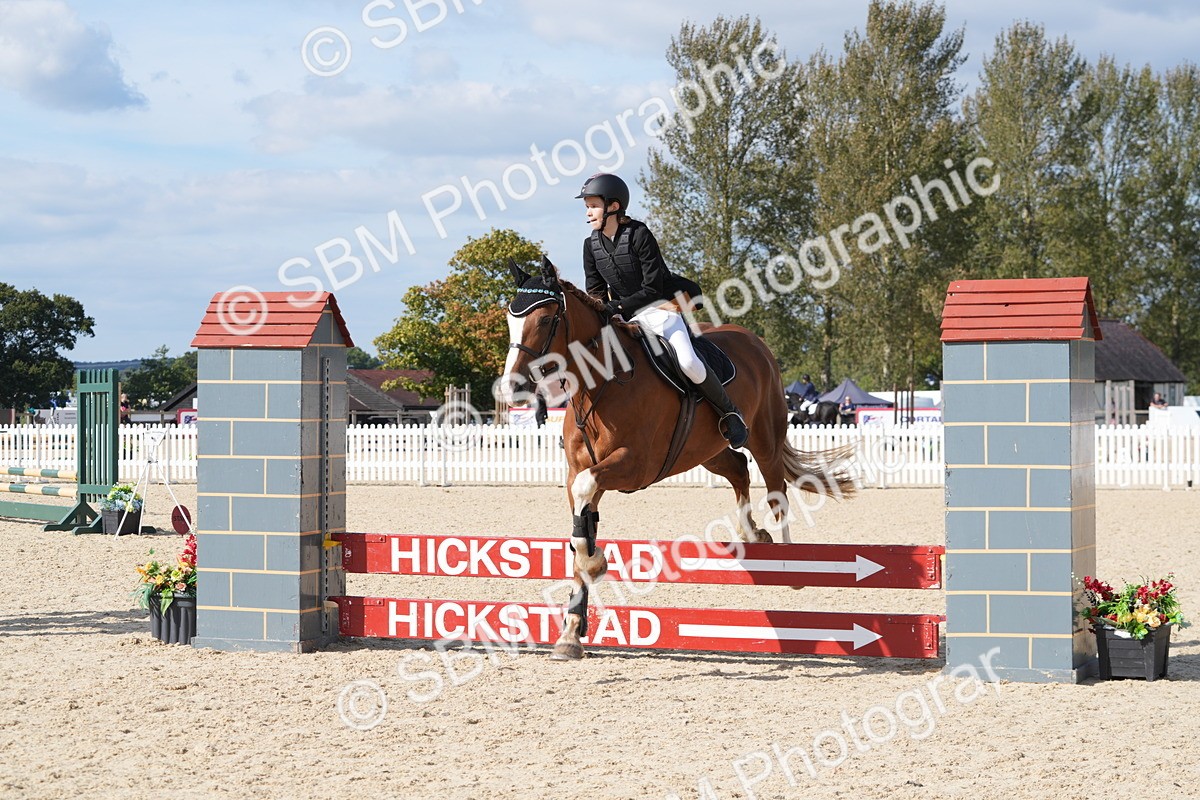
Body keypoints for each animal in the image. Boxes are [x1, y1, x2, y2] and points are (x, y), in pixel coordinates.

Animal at [500, 258, 856, 660]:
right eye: (510, 318)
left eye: (546, 320)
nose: (512, 387)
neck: (602, 384)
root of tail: (754, 341)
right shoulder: (581, 472)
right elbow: (581, 528)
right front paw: (571, 632)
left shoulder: (633, 466)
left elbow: (586, 501)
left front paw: (594, 566)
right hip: (706, 450)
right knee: (739, 470)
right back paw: (752, 533)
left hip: (766, 436)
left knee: (776, 490)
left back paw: (787, 562)